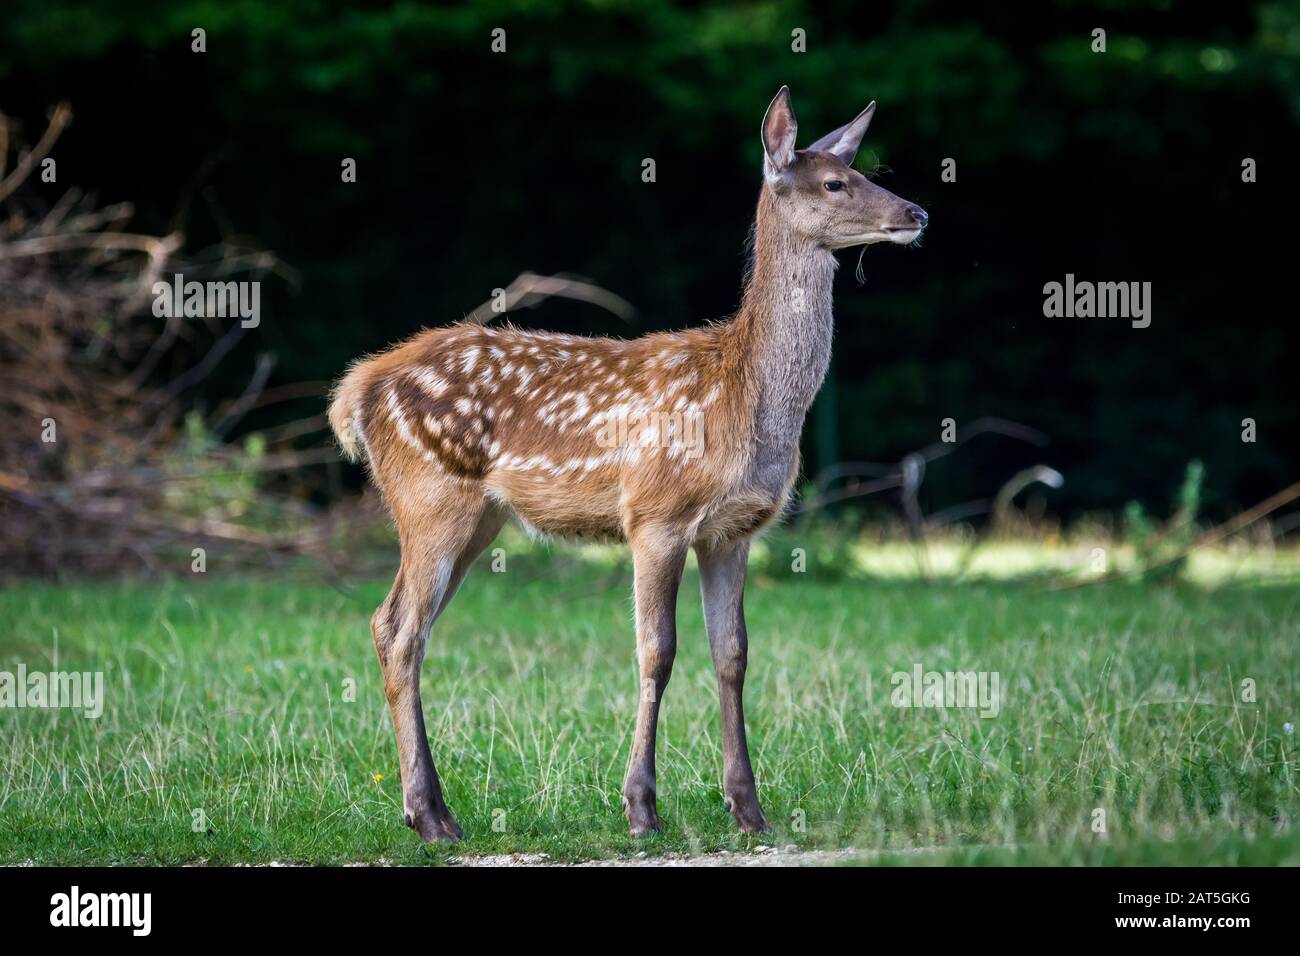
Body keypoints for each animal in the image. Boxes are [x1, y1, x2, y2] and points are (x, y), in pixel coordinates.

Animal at [328, 86, 927, 842]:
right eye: (834, 183)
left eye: (862, 170)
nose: (917, 213)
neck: (745, 397)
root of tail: (359, 389)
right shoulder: (655, 513)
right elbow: (657, 651)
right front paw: (641, 808)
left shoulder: (734, 530)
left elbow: (733, 654)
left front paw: (747, 807)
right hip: (431, 498)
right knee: (401, 630)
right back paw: (431, 815)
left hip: (478, 520)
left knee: (396, 625)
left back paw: (429, 810)